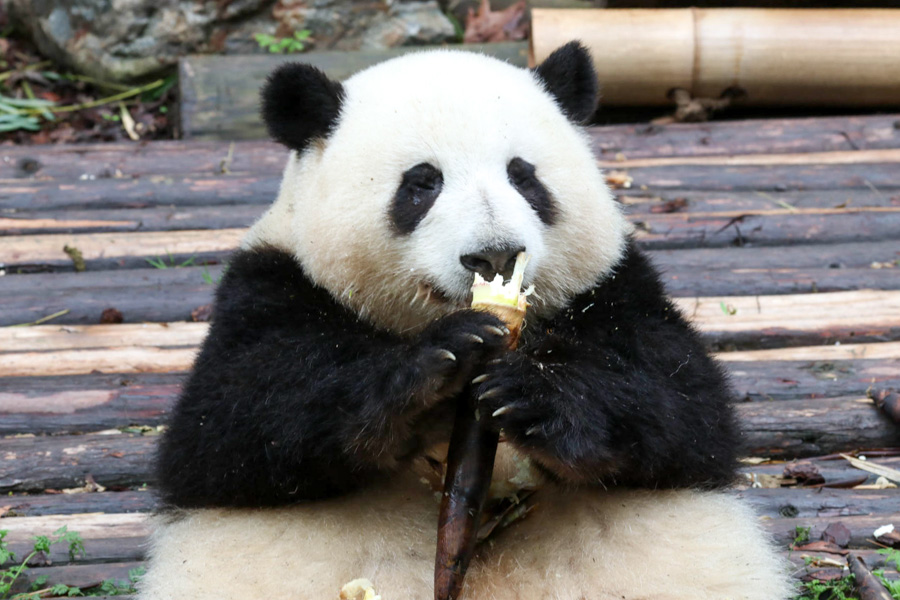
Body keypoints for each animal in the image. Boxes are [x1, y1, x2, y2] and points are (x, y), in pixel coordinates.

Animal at [138, 43, 792, 599]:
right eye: (422, 182)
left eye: (524, 175)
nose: (495, 255)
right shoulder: (273, 283)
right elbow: (230, 425)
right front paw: (434, 372)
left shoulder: (614, 286)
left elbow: (684, 410)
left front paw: (533, 397)